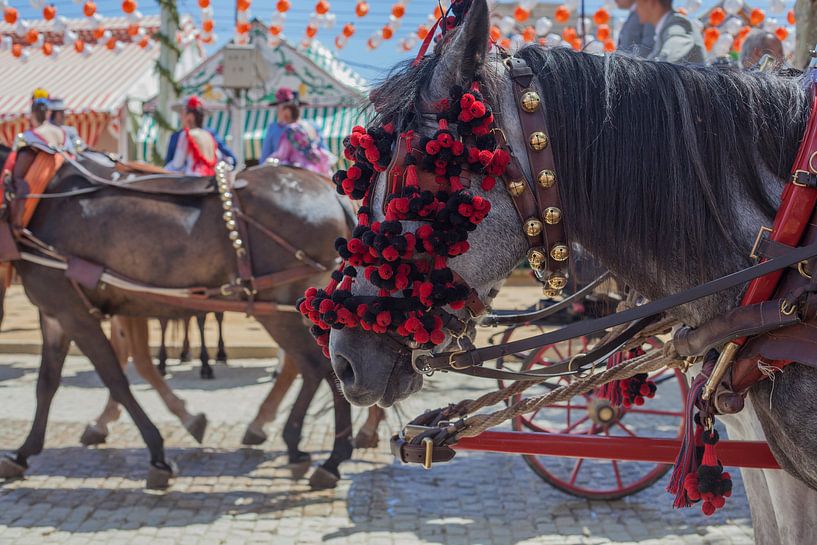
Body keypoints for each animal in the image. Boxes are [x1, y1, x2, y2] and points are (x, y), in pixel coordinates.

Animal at [0, 154, 357, 490]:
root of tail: (329, 191)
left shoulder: (73, 312)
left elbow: (115, 377)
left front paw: (157, 452)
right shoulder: (55, 314)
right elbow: (47, 383)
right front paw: (23, 452)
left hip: (280, 312)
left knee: (319, 368)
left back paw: (328, 458)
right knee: (315, 369)